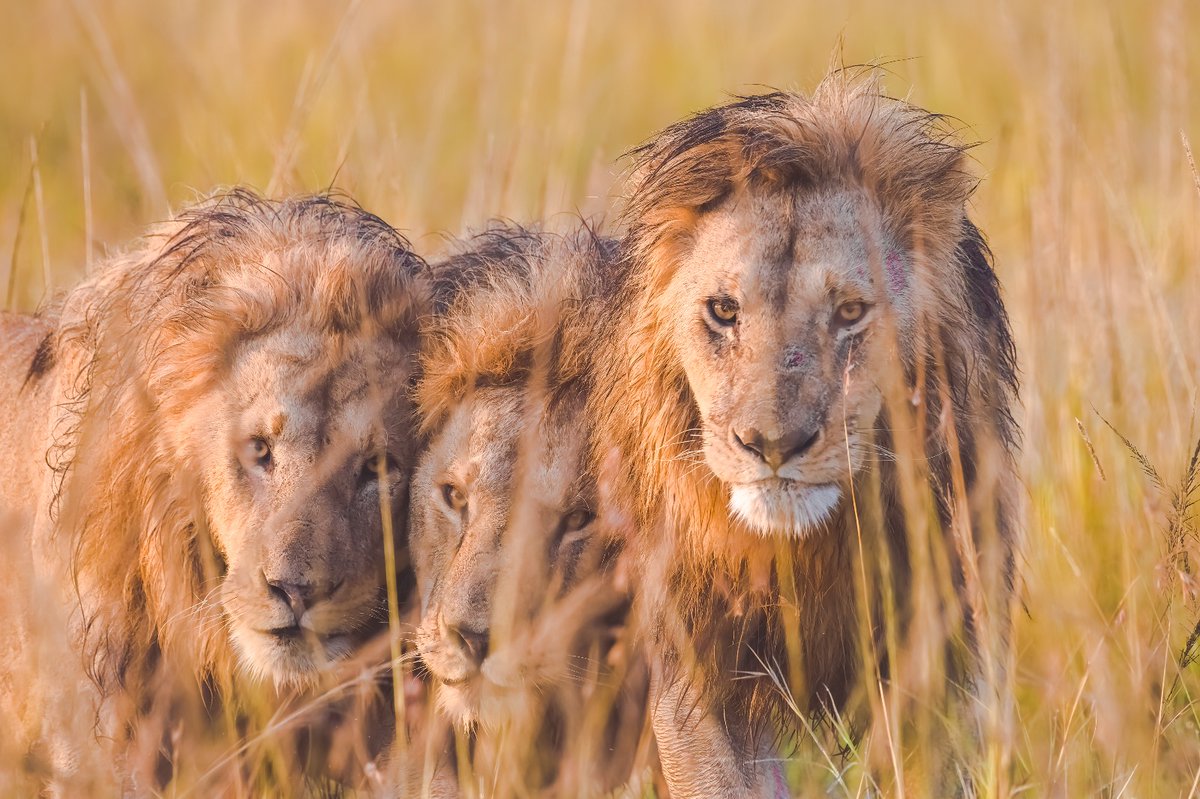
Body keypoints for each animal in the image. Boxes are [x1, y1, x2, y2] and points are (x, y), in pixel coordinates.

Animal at [585, 71, 1017, 791]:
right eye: (724, 310)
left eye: (850, 312)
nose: (772, 444)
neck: (805, 553)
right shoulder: (691, 672)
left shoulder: (941, 664)